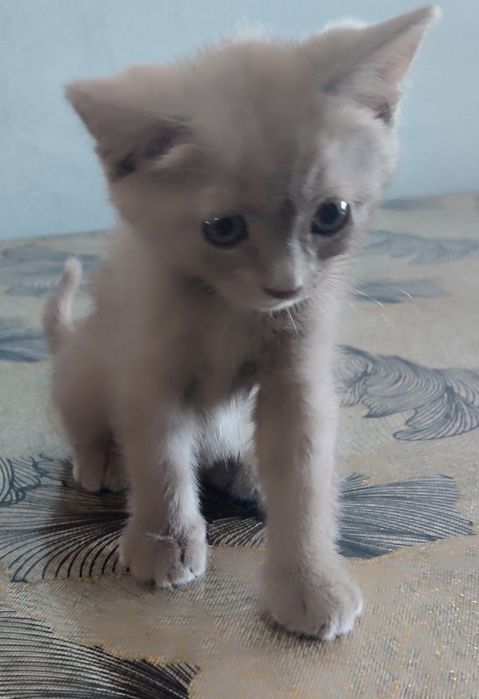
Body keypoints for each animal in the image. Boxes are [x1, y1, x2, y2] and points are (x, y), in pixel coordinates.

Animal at [44, 6, 438, 640]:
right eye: (223, 228)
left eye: (332, 215)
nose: (286, 285)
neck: (228, 310)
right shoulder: (148, 369)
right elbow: (160, 458)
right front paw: (163, 538)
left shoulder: (299, 377)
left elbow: (305, 475)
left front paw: (309, 582)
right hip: (86, 364)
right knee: (86, 418)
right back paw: (103, 457)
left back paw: (246, 467)